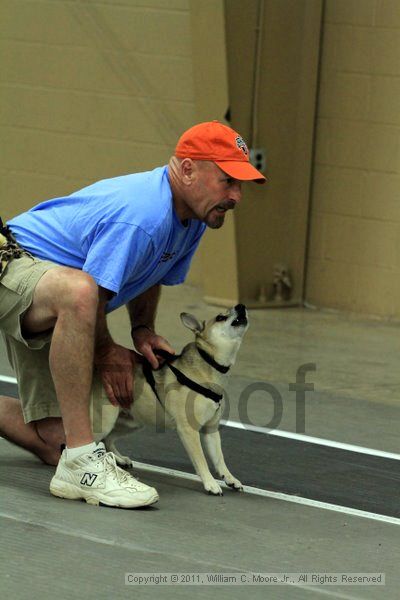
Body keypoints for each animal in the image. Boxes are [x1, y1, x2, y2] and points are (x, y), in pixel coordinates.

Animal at [92, 302, 248, 494]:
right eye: (220, 317)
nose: (241, 306)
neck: (209, 365)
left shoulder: (211, 430)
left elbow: (219, 458)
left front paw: (230, 478)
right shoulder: (189, 430)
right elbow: (201, 459)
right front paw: (210, 483)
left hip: (130, 422)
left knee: (108, 439)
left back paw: (119, 459)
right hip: (107, 420)